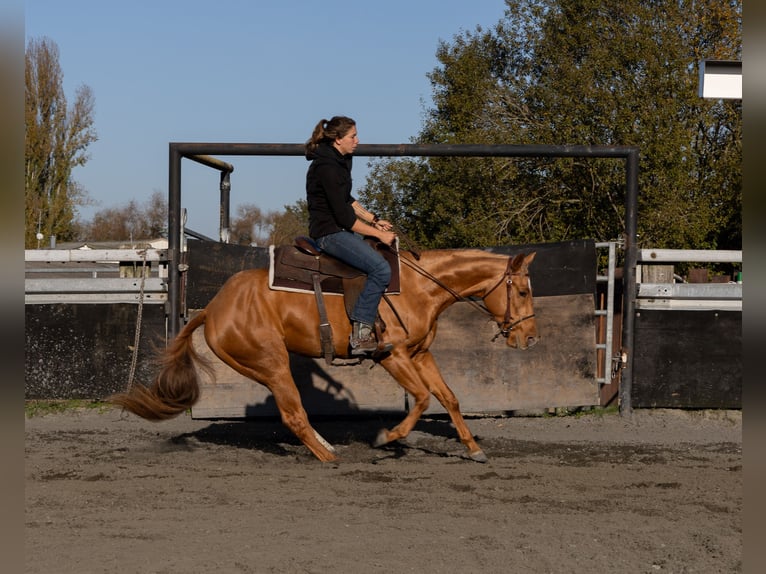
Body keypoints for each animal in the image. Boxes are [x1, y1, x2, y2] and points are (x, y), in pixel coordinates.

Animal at [109, 248, 540, 464]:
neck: (418, 287)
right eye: (521, 291)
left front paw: (473, 448)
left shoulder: (420, 354)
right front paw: (386, 437)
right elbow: (420, 399)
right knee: (293, 415)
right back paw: (329, 458)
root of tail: (213, 309)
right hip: (271, 364)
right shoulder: (393, 356)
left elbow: (448, 398)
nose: (531, 337)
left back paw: (327, 448)